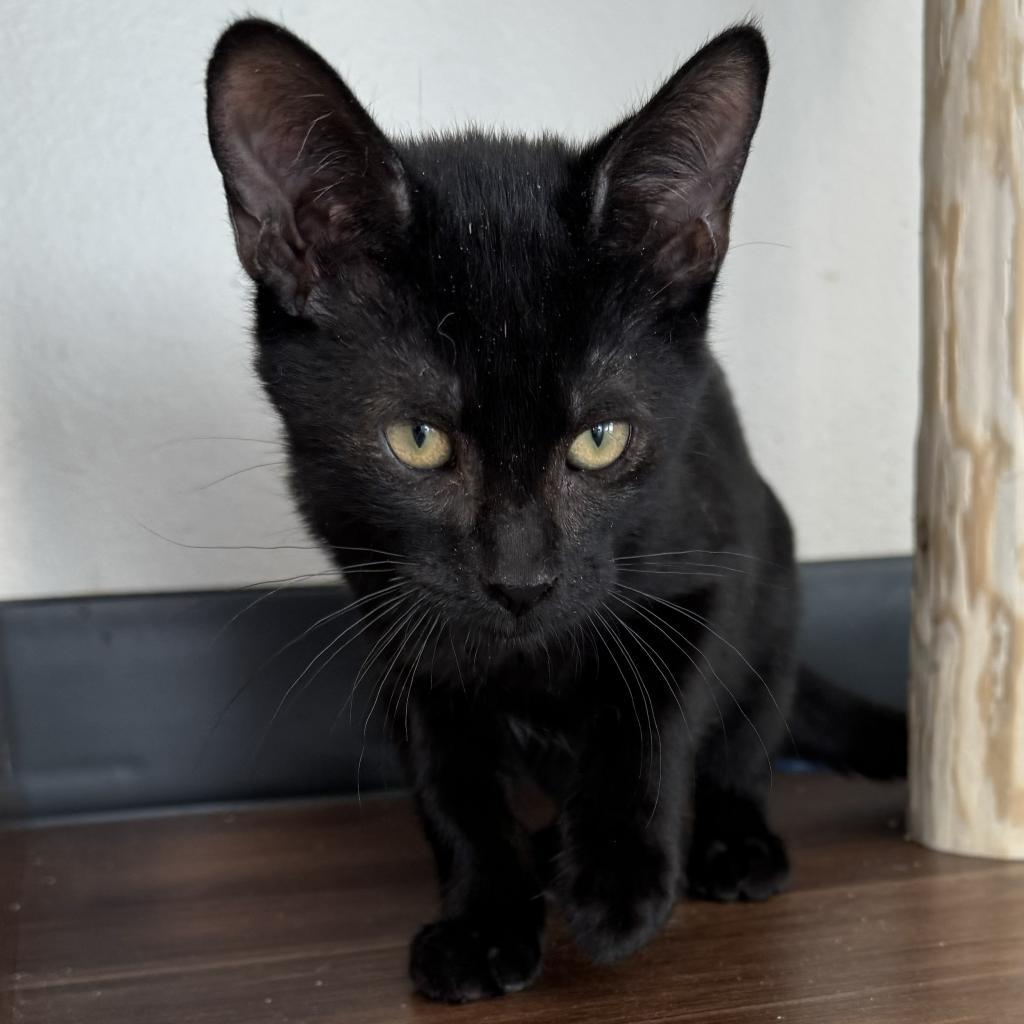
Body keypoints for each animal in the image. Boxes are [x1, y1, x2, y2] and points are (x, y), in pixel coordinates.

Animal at [205, 19, 905, 1003]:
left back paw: (729, 843)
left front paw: (619, 886)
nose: (520, 580)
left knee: (746, 741)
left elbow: (652, 720)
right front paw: (485, 917)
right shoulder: (394, 620)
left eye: (601, 438)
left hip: (774, 589)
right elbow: (452, 788)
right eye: (417, 439)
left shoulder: (707, 570)